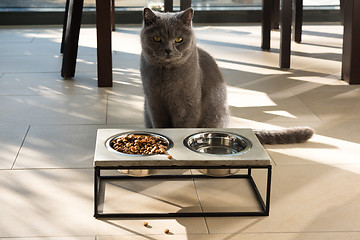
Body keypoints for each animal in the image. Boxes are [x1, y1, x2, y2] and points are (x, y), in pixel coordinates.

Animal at [139, 7, 314, 144]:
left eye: (179, 39)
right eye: (157, 38)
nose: (168, 50)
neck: (165, 76)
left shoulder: (186, 106)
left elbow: (183, 127)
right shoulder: (154, 103)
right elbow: (160, 126)